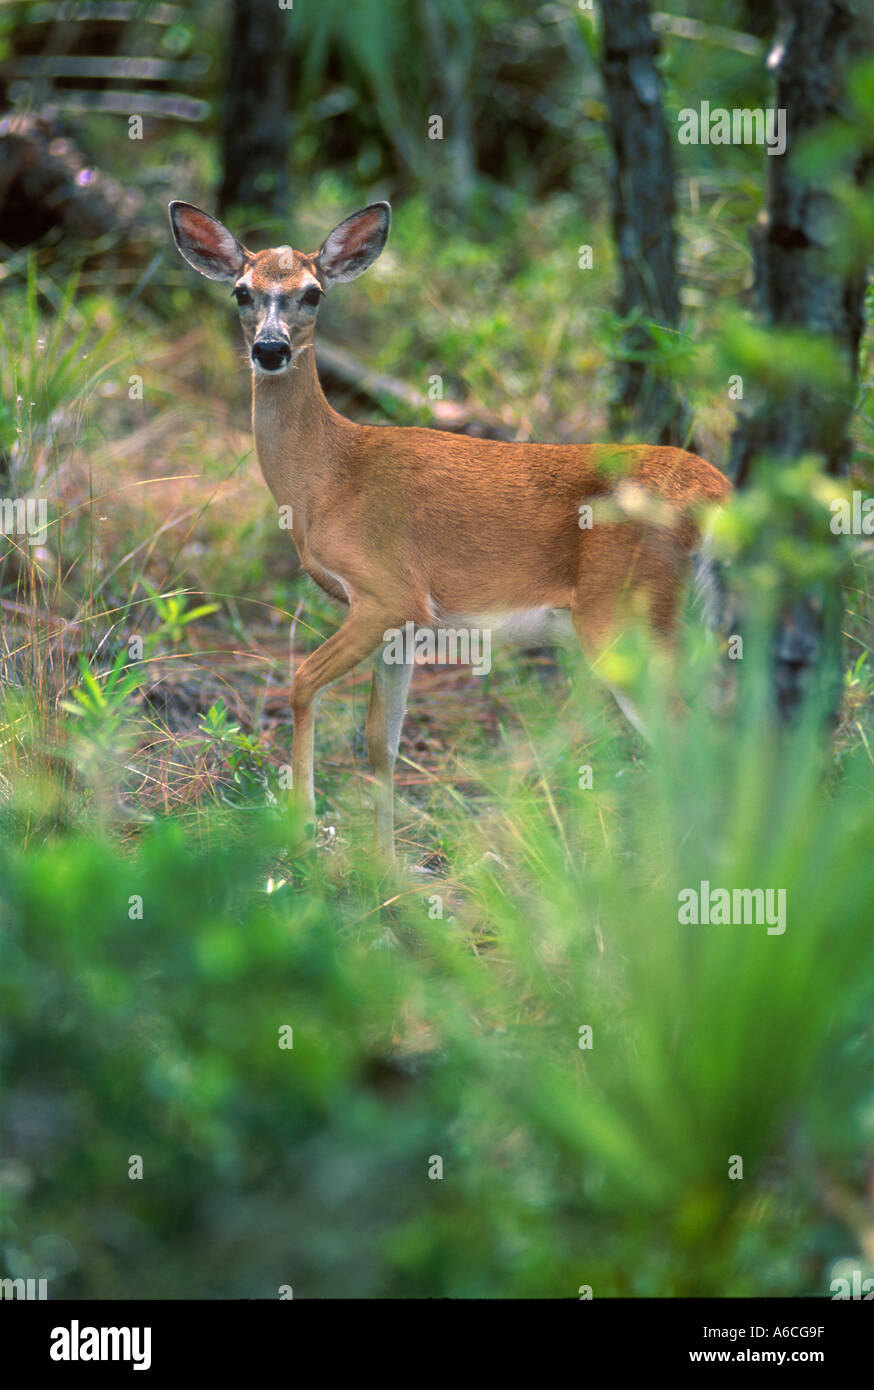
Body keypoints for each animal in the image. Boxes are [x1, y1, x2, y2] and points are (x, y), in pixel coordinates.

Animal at [170, 202, 728, 861]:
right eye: (240, 292)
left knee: (689, 738)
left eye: (312, 293)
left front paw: (303, 826)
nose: (271, 349)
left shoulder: (388, 592)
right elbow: (380, 739)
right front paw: (385, 866)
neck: (329, 476)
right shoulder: (406, 629)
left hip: (621, 613)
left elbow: (301, 682)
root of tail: (718, 493)